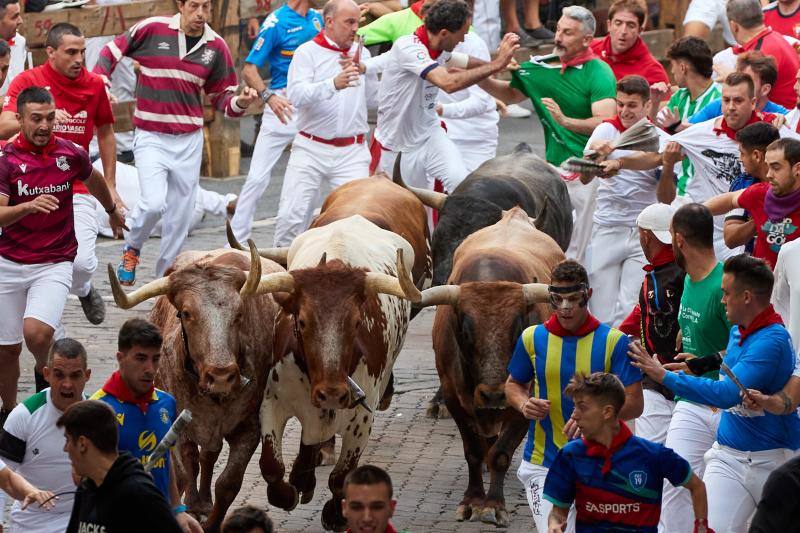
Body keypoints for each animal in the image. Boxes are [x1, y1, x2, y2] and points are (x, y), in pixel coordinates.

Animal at [106, 244, 282, 532]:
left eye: (239, 314)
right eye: (187, 314)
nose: (221, 376)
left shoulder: (249, 428)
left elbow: (228, 483)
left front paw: (211, 522)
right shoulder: (176, 423)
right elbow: (181, 473)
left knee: (208, 457)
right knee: (193, 459)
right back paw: (195, 503)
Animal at [416, 207, 564, 524]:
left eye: (518, 327)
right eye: (464, 331)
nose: (494, 394)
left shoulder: (528, 398)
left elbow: (501, 453)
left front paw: (494, 504)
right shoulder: (453, 396)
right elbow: (472, 451)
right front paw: (472, 500)